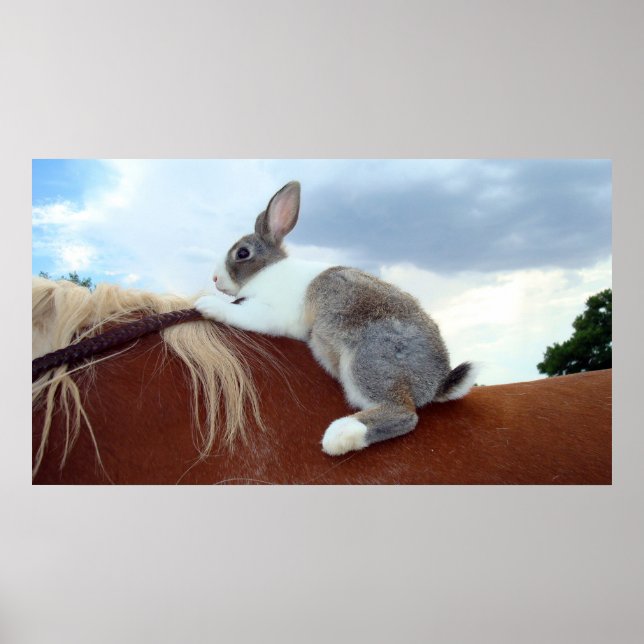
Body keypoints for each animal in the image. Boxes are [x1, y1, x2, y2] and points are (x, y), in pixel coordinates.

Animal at [195, 181, 477, 456]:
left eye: (242, 253)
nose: (215, 279)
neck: (265, 272)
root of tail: (435, 383)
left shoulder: (270, 312)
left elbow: (242, 313)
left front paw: (207, 305)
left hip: (367, 361)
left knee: (404, 414)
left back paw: (341, 435)